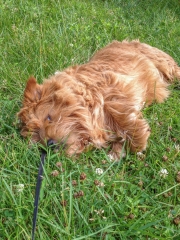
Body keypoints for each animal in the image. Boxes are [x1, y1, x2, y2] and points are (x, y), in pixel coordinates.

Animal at [17, 39, 180, 159]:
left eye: (49, 118)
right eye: (36, 137)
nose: (49, 144)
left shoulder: (115, 88)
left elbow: (120, 113)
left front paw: (136, 139)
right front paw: (117, 151)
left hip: (165, 65)